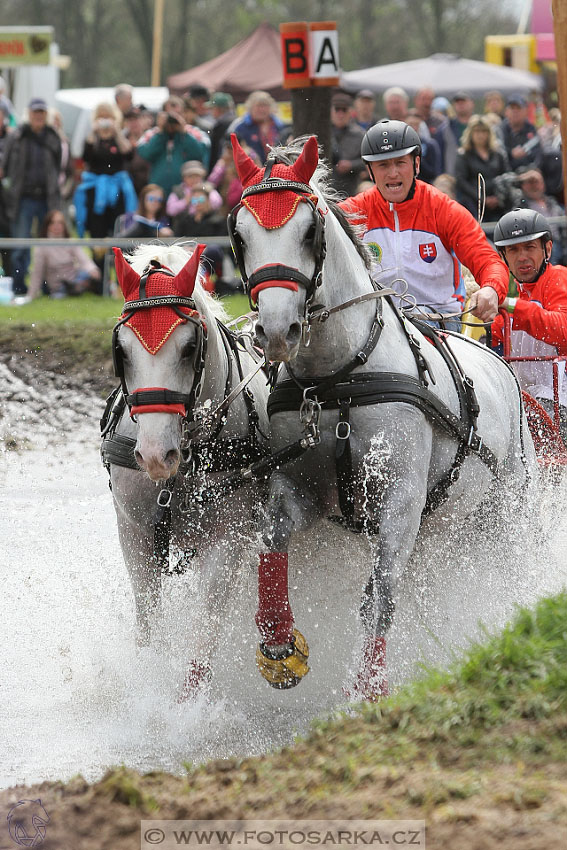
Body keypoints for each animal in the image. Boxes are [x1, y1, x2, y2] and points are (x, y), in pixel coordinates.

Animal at [102, 240, 270, 696]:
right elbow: (148, 620)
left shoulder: (228, 539)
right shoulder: (134, 534)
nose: (156, 455)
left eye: (189, 348)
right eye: (121, 350)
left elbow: (205, 630)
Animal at [227, 136, 536, 700]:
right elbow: (271, 541)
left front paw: (367, 692)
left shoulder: (399, 503)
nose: (277, 331)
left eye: (310, 231)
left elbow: (380, 599)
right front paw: (279, 643)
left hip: (503, 512)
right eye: (239, 235)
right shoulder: (299, 488)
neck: (339, 377)